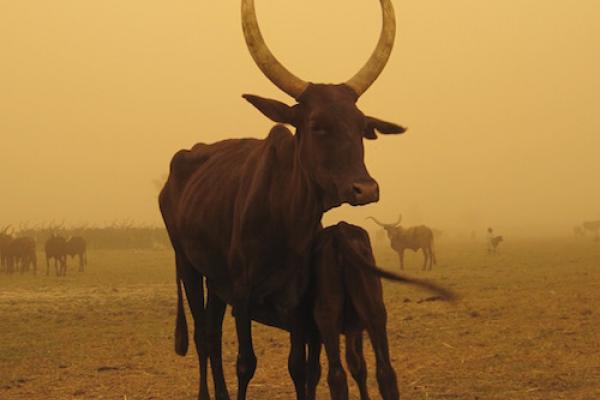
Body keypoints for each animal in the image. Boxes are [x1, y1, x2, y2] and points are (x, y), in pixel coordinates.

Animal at [158, 0, 404, 396]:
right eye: (317, 125)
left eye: (362, 127)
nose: (365, 189)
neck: (284, 217)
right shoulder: (242, 294)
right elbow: (246, 363)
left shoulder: (294, 302)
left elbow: (299, 367)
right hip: (188, 264)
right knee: (202, 337)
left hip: (217, 280)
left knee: (212, 333)